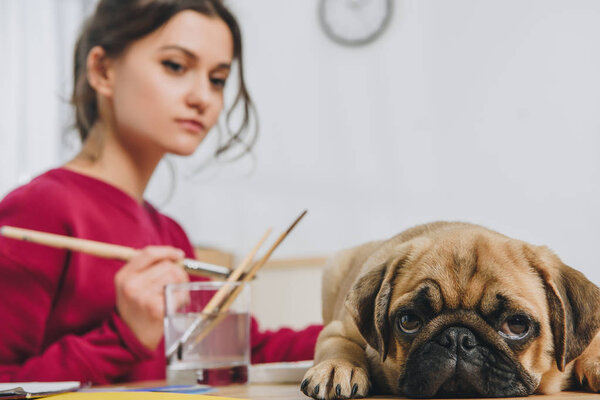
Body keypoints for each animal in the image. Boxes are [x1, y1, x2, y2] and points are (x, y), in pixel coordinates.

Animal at [300, 220, 600, 398]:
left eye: (516, 325)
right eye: (409, 321)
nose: (458, 337)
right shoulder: (341, 328)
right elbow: (337, 343)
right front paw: (336, 368)